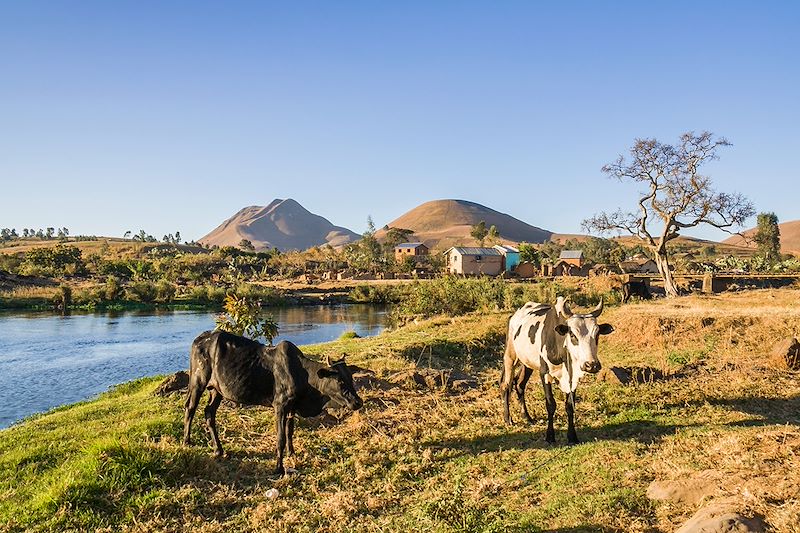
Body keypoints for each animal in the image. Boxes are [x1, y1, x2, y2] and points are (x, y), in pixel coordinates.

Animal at [184, 330, 362, 476]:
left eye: (350, 377)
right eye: (339, 381)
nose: (358, 402)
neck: (303, 375)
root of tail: (199, 339)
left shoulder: (292, 407)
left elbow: (290, 432)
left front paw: (292, 453)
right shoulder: (280, 406)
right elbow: (280, 438)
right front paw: (279, 468)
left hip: (217, 390)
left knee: (209, 412)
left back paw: (218, 450)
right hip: (197, 383)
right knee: (190, 408)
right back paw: (187, 441)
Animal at [500, 298, 612, 442]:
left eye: (597, 334)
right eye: (572, 334)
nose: (591, 365)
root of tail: (514, 315)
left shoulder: (572, 377)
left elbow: (569, 405)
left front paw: (572, 436)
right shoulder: (544, 373)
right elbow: (550, 404)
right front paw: (550, 436)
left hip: (527, 363)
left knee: (519, 384)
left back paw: (527, 417)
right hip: (510, 356)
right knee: (506, 385)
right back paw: (508, 419)